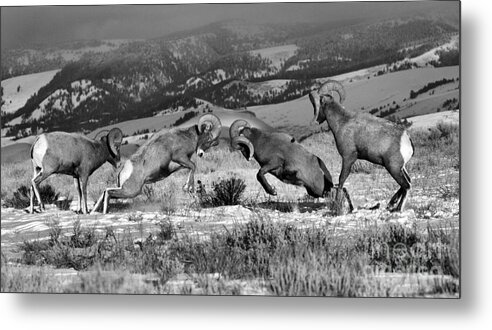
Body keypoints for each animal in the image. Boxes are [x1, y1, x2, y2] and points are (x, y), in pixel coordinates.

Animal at [91, 113, 222, 214]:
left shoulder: (180, 164)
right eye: (208, 138)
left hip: (126, 189)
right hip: (131, 191)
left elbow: (191, 168)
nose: (201, 153)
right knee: (108, 192)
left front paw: (188, 189)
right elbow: (193, 166)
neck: (185, 138)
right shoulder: (180, 158)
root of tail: (123, 172)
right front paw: (188, 188)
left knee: (106, 192)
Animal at [310, 80, 414, 211]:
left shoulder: (348, 158)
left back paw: (397, 209)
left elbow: (341, 180)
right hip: (400, 168)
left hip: (393, 168)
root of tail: (406, 138)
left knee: (406, 185)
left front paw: (337, 204)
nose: (317, 120)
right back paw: (391, 204)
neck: (342, 122)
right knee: (407, 183)